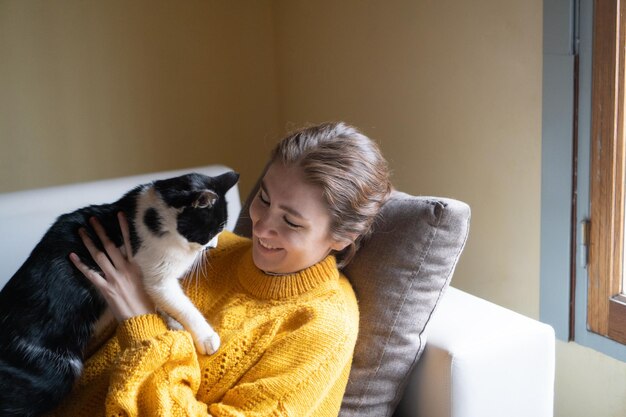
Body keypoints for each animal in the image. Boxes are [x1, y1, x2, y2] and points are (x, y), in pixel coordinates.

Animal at [0, 170, 238, 416]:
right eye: (212, 231)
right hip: (57, 371)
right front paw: (205, 336)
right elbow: (181, 305)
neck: (153, 215)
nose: (213, 245)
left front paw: (172, 323)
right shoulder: (159, 278)